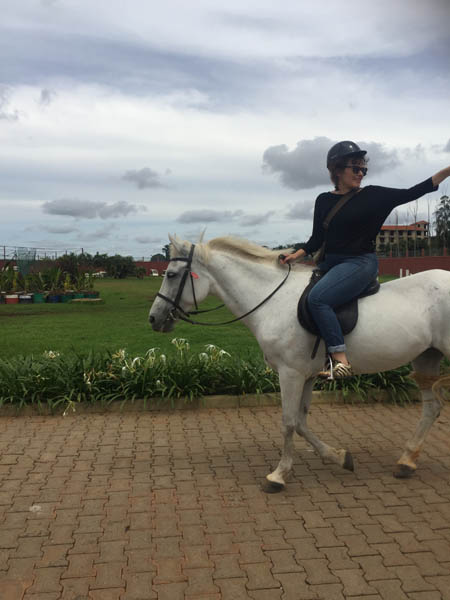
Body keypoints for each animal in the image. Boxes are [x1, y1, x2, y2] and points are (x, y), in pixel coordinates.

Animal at [149, 236, 450, 492]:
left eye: (171, 274)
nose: (154, 318)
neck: (273, 302)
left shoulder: (290, 373)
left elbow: (288, 423)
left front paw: (278, 475)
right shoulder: (307, 375)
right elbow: (302, 422)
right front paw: (339, 456)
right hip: (426, 357)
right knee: (431, 409)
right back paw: (407, 461)